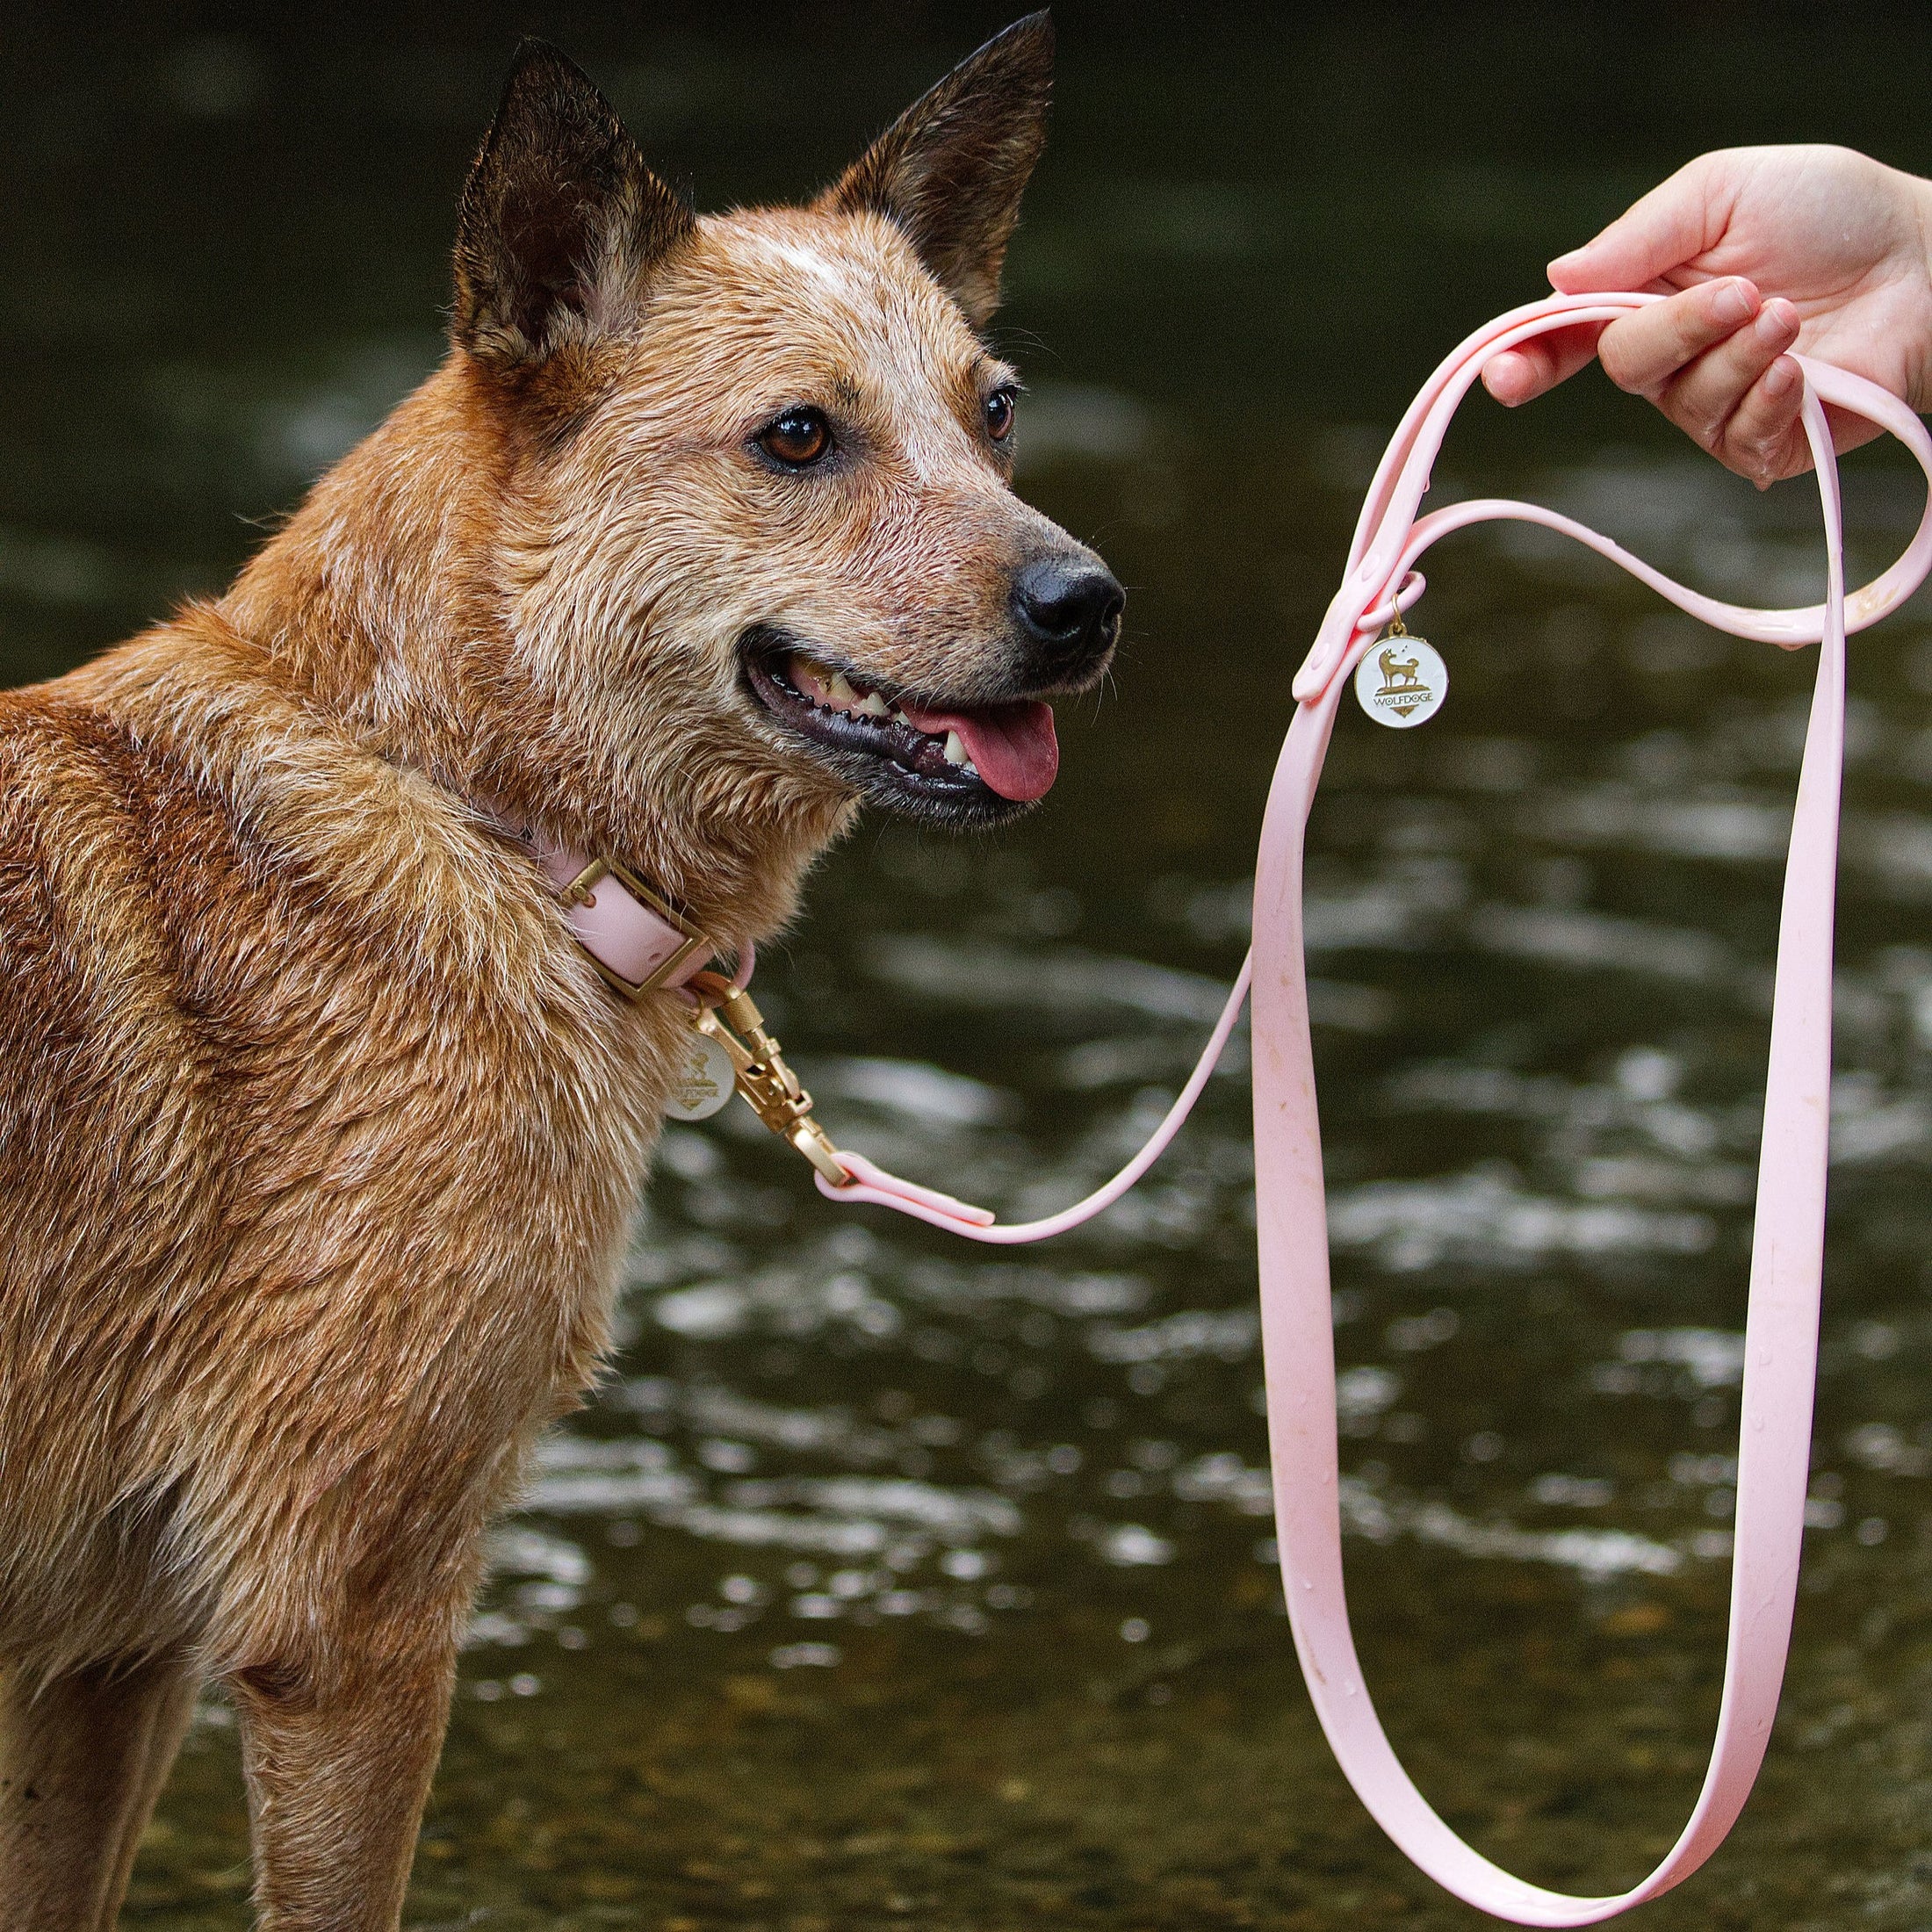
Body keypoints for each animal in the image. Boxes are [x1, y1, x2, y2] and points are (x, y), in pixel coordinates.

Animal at [0, 18, 1121, 1932]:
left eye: (995, 412)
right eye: (798, 436)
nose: (1087, 602)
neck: (462, 806)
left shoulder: (103, 1669)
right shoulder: (349, 1628)